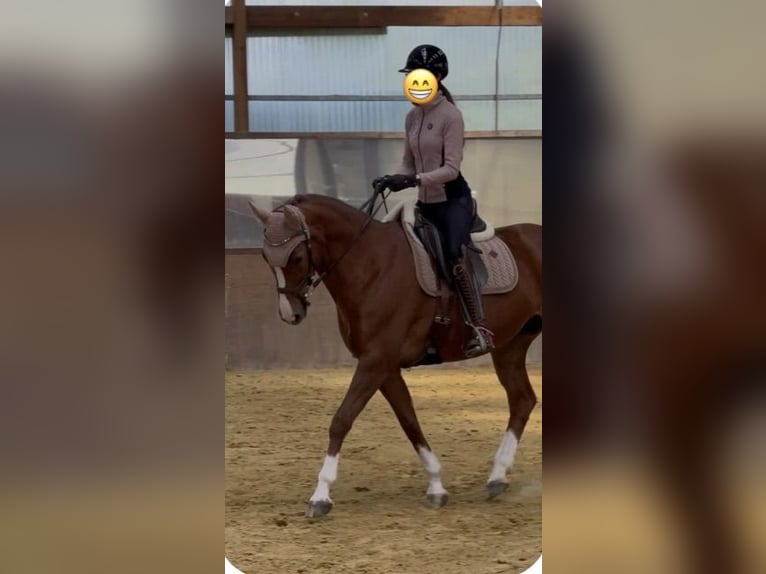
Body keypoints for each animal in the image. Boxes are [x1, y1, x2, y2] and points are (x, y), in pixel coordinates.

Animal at [250, 193, 542, 518]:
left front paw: (320, 496)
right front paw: (436, 486)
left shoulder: (375, 362)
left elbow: (341, 420)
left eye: (297, 257)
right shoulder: (385, 367)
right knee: (522, 400)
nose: (291, 314)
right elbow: (408, 420)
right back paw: (497, 476)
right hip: (510, 347)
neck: (369, 265)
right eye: (265, 257)